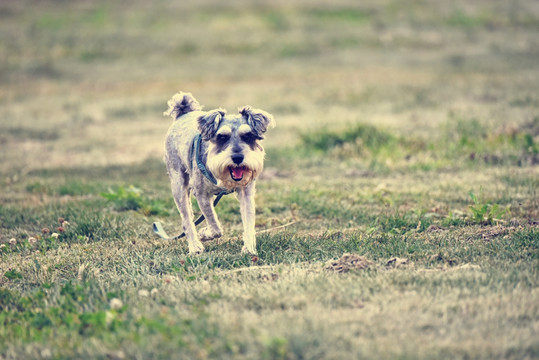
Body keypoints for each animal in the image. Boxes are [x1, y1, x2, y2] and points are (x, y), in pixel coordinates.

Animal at [161, 93, 274, 256]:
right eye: (222, 137)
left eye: (247, 136)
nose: (238, 158)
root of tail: (183, 113)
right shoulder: (201, 194)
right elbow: (214, 225)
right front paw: (205, 234)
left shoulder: (246, 192)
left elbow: (249, 221)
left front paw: (249, 248)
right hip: (178, 185)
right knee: (186, 219)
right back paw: (195, 247)